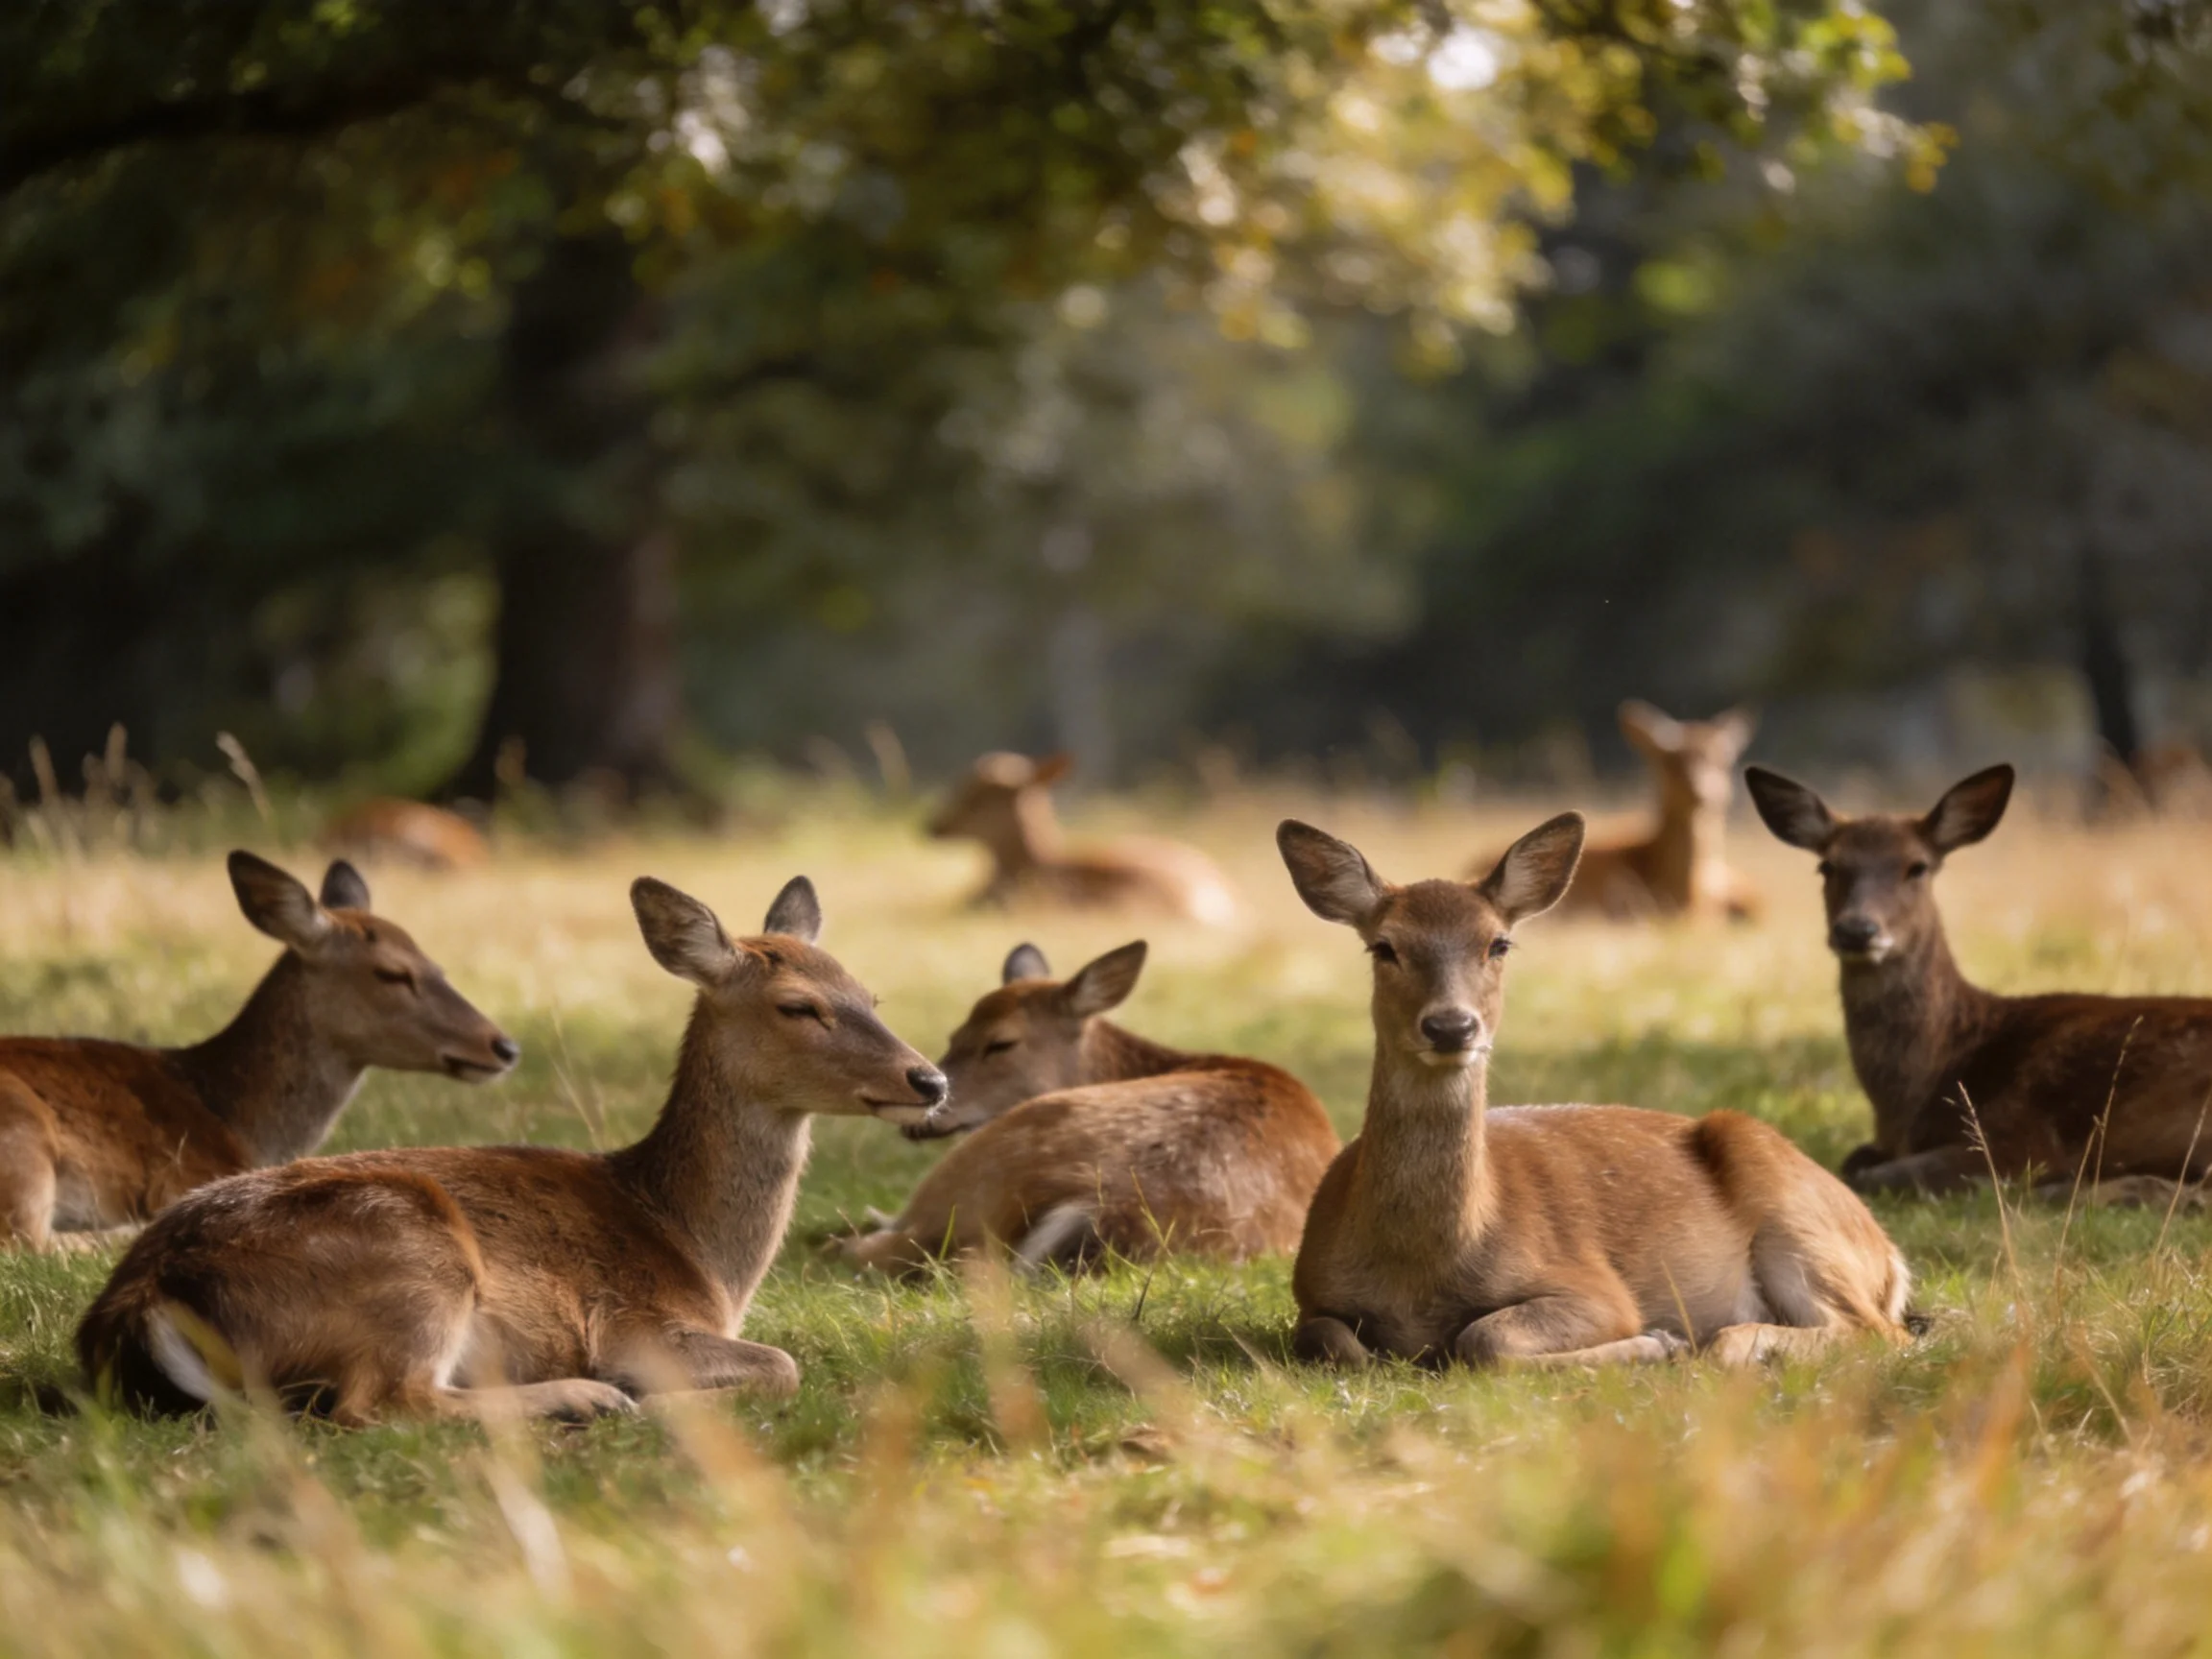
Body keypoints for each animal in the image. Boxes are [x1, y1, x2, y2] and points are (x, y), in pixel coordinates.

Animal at [0, 853, 517, 1254]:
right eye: (392, 973)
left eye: (437, 966)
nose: (504, 1045)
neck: (237, 1120)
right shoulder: (188, 1169)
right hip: (24, 1137)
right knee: (28, 1242)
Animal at [79, 875, 948, 1423]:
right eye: (798, 1006)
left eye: (870, 996)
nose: (930, 1078)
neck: (696, 1247)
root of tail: (142, 1300)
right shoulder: (633, 1320)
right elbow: (783, 1366)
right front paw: (648, 1395)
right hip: (410, 1252)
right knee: (381, 1404)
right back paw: (589, 1400)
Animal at [1280, 813, 1910, 1369]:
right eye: (1383, 947)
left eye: (1499, 943)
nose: (1452, 1026)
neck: (1419, 1274)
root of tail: (1891, 1255)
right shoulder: (1312, 1291)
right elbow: (1331, 1342)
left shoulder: (1592, 1284)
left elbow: (1485, 1338)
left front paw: (1657, 1342)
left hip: (1795, 1209)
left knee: (1878, 1332)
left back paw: (1723, 1343)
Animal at [1746, 762, 2212, 1196]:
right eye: (1828, 866)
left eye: (1917, 867)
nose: (1857, 929)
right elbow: (1853, 1160)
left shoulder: (2017, 1137)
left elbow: (1869, 1175)